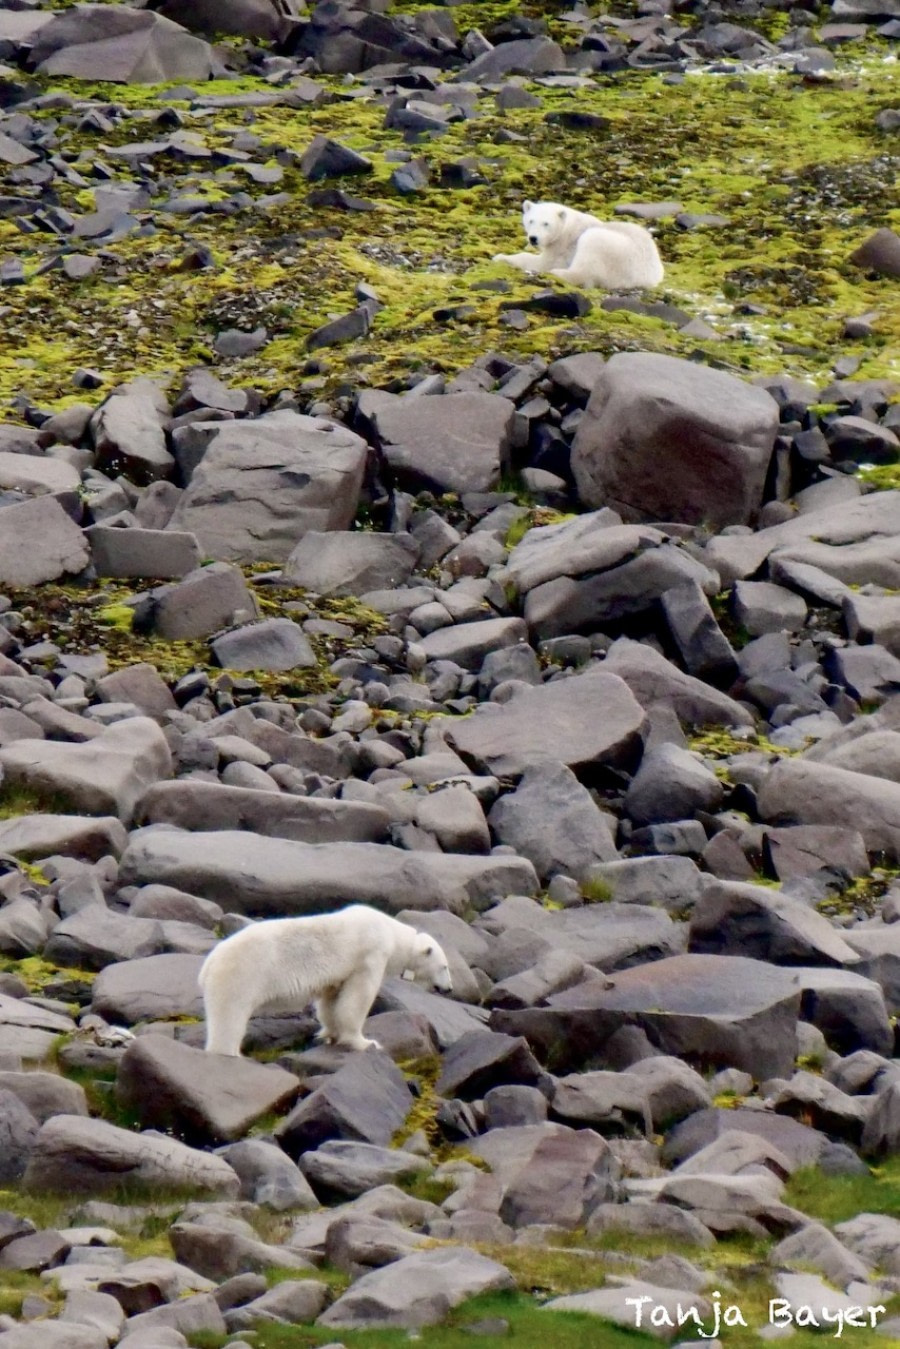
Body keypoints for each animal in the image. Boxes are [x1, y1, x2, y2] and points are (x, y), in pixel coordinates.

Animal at [197, 901, 450, 1057]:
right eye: (445, 967)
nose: (448, 988)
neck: (391, 932)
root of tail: (208, 965)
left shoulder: (339, 974)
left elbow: (331, 999)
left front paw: (329, 1034)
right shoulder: (371, 955)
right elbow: (357, 999)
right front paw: (366, 1042)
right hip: (240, 976)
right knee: (229, 1018)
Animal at [488, 195, 666, 287]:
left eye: (546, 223)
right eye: (531, 220)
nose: (533, 239)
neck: (567, 227)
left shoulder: (562, 246)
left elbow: (543, 263)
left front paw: (500, 257)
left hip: (615, 251)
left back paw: (557, 273)